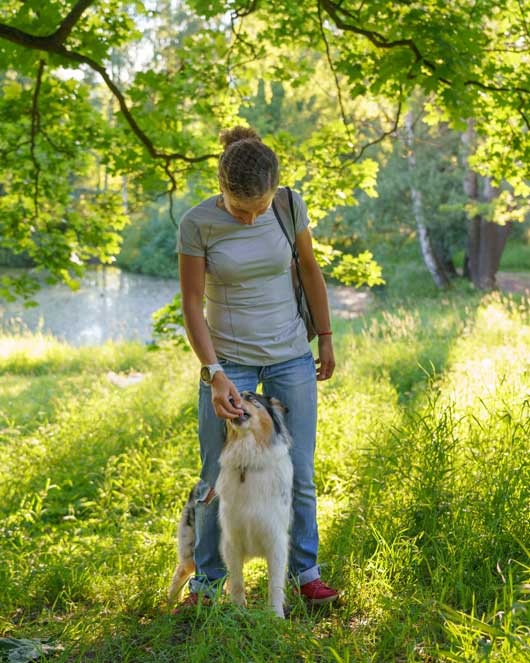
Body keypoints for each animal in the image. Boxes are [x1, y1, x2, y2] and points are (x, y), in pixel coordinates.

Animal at [168, 392, 292, 620]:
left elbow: (275, 584)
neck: (247, 462)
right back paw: (171, 603)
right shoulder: (231, 541)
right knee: (181, 570)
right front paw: (239, 611)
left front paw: (276, 617)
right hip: (190, 548)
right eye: (238, 394)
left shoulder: (276, 541)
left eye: (250, 398)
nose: (232, 398)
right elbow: (237, 583)